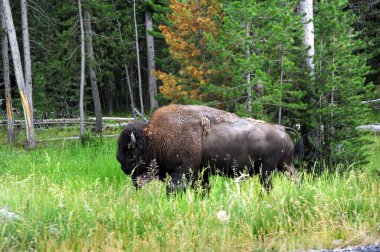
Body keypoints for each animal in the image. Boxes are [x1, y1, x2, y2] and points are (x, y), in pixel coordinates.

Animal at [117, 104, 302, 193]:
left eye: (130, 151)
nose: (121, 164)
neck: (154, 138)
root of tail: (282, 128)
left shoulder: (183, 171)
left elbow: (173, 189)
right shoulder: (201, 172)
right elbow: (204, 189)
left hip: (267, 170)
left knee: (268, 186)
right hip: (284, 166)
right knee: (294, 178)